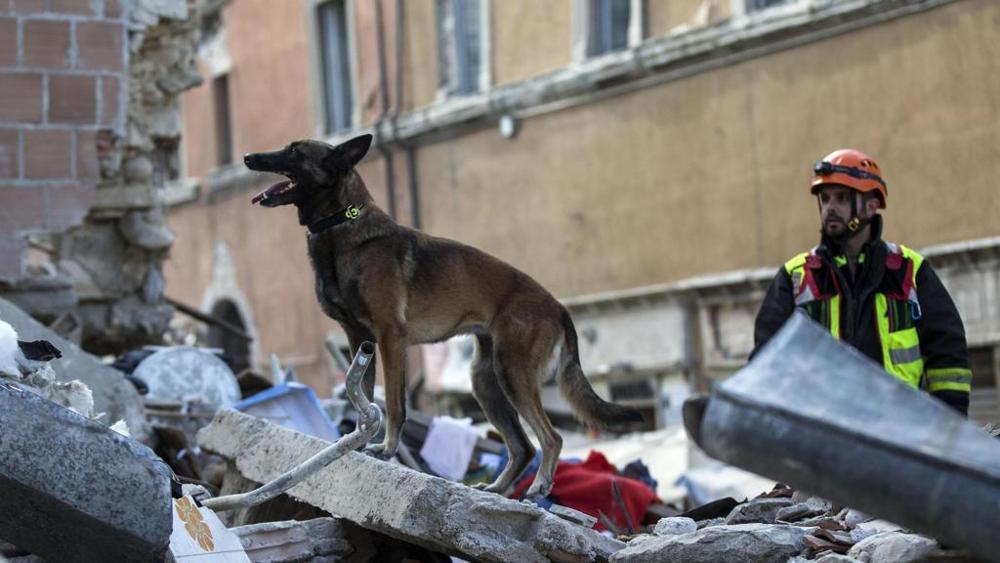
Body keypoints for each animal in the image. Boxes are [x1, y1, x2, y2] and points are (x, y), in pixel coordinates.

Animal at [246, 134, 644, 500]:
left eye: (295, 150)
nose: (249, 157)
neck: (341, 224)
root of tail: (557, 306)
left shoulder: (389, 338)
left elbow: (394, 404)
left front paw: (386, 449)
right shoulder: (358, 339)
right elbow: (364, 397)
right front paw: (358, 441)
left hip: (511, 374)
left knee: (551, 437)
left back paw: (540, 485)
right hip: (485, 381)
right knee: (522, 446)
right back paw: (496, 489)